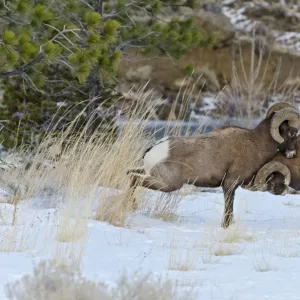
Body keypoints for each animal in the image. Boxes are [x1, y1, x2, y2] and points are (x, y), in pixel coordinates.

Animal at [126, 102, 300, 227]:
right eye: (292, 132)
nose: (292, 154)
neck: (257, 143)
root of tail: (155, 149)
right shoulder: (230, 184)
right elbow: (228, 207)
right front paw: (226, 226)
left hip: (151, 174)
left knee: (130, 174)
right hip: (167, 184)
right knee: (135, 178)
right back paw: (131, 206)